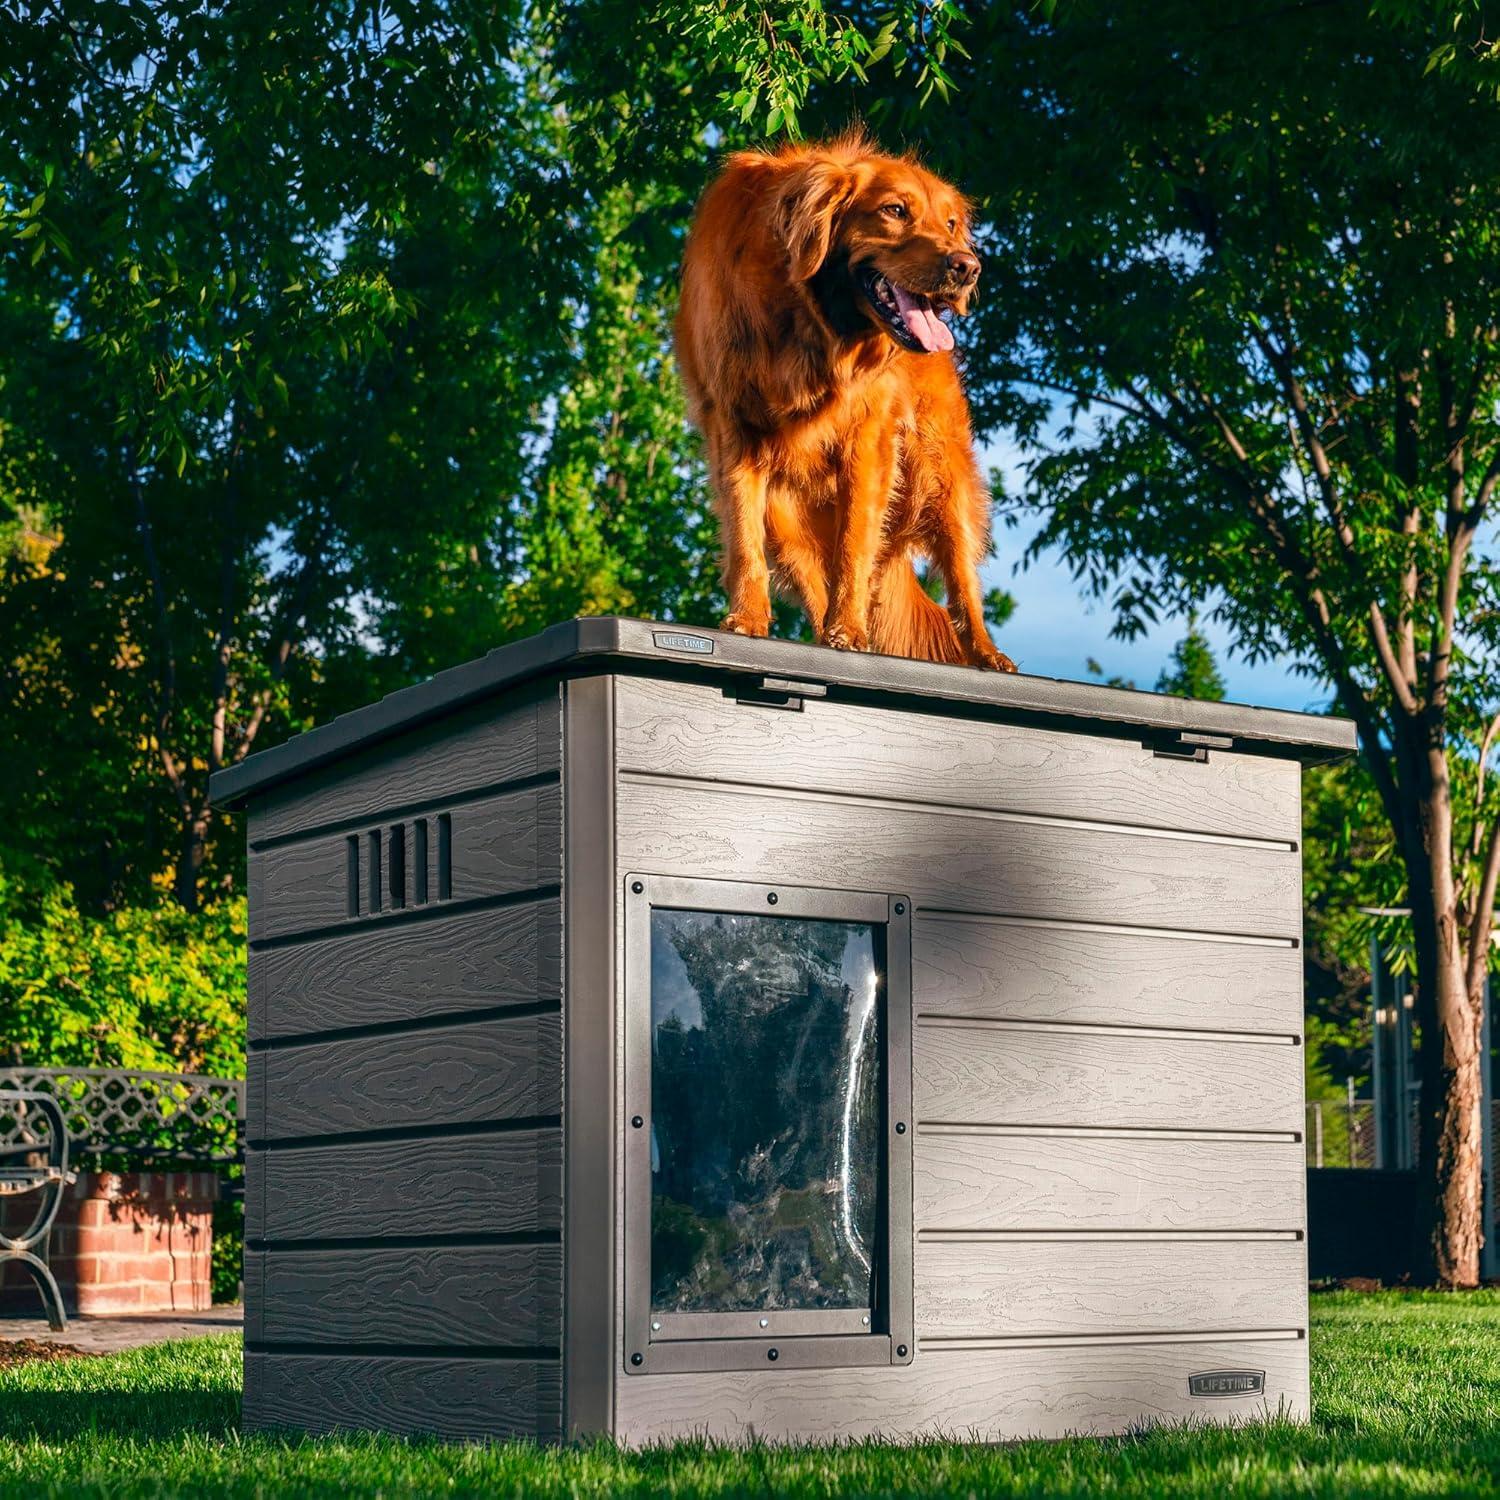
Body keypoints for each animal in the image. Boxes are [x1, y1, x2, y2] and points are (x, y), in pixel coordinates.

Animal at [681, 132, 1020, 672]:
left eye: (949, 223)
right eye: (895, 210)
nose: (968, 267)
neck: (810, 326)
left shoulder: (869, 441)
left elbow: (854, 546)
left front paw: (850, 632)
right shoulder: (734, 433)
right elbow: (744, 540)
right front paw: (748, 621)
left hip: (939, 468)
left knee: (962, 575)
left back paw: (987, 654)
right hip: (787, 520)